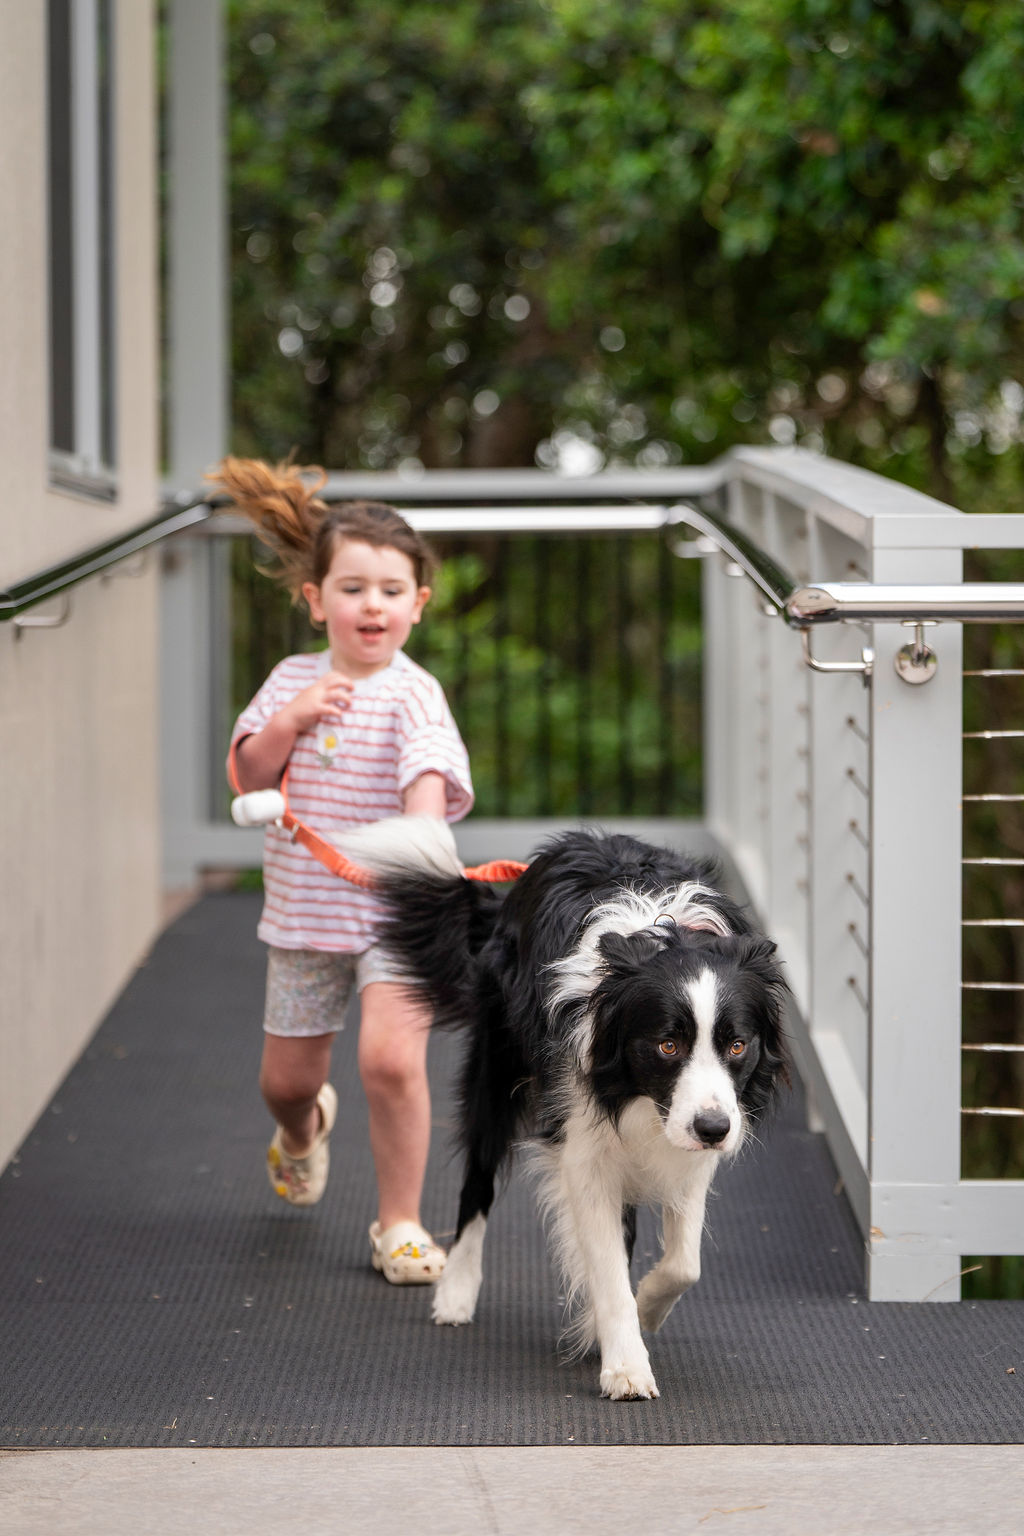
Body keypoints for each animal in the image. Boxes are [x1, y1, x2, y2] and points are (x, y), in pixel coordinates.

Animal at [337, 820, 789, 1401]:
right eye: (667, 1045)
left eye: (737, 1046)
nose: (714, 1130)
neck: (664, 937)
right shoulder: (584, 1144)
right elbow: (607, 1264)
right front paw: (626, 1365)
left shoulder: (688, 1131)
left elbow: (683, 1262)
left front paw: (644, 1308)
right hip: (494, 1074)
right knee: (476, 1185)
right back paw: (455, 1293)